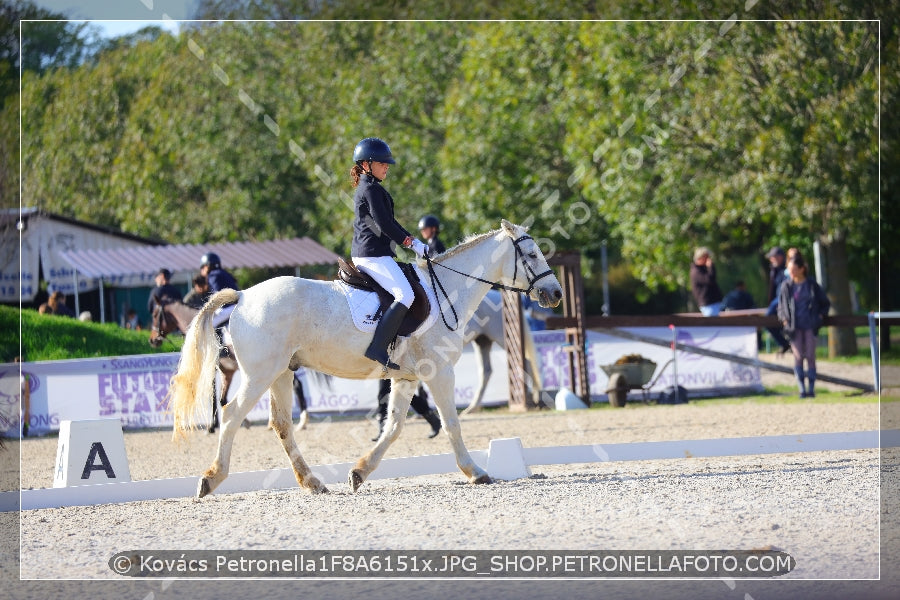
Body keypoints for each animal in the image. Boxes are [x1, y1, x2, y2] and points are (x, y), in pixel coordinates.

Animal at [167, 220, 564, 496]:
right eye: (531, 255)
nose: (555, 293)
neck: (448, 290)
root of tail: (244, 296)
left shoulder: (406, 378)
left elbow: (394, 427)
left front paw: (359, 473)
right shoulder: (440, 374)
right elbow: (451, 423)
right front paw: (475, 472)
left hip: (281, 374)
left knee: (281, 425)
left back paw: (312, 482)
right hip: (259, 375)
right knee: (232, 415)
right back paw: (211, 479)